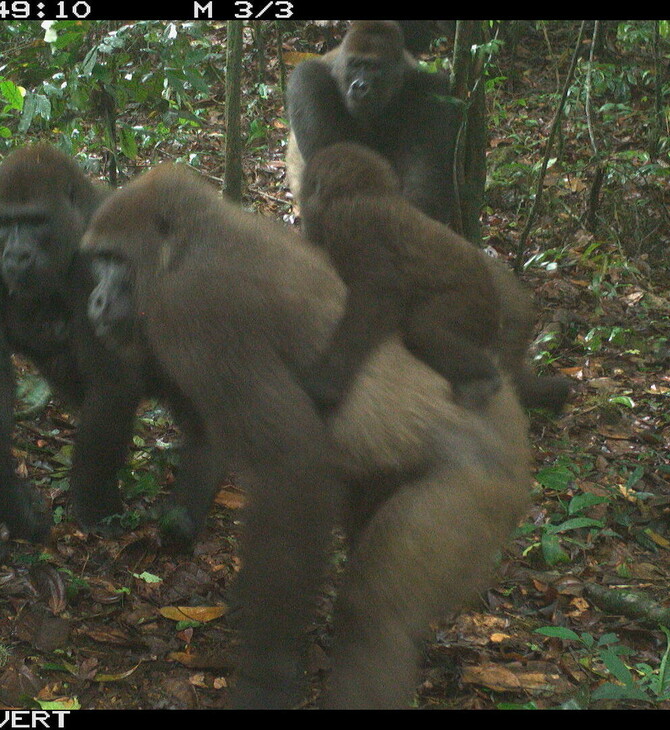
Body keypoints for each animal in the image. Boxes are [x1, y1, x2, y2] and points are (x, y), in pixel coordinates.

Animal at [0, 144, 140, 540]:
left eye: (36, 221)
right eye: (5, 223)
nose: (16, 255)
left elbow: (111, 385)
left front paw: (94, 506)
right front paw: (14, 503)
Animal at [84, 162, 532, 708]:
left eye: (114, 259)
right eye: (97, 261)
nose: (96, 299)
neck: (188, 244)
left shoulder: (195, 305)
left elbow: (290, 470)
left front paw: (267, 678)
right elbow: (207, 434)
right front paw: (180, 524)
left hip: (484, 487)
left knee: (374, 612)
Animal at [284, 19, 462, 228]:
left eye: (373, 67)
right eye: (355, 65)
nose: (359, 86)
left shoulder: (432, 89)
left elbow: (425, 173)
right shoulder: (306, 80)